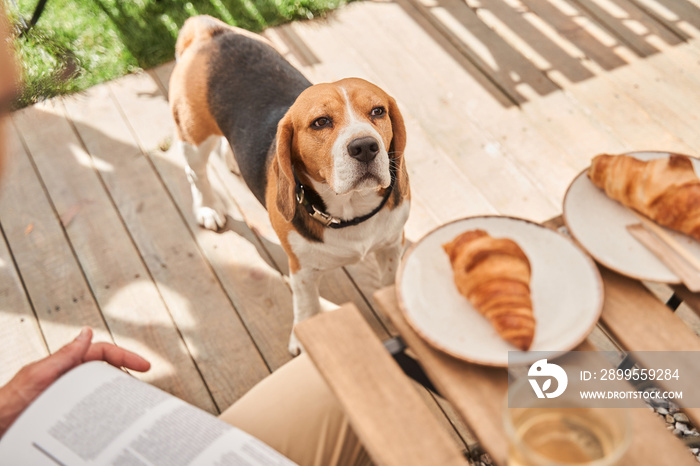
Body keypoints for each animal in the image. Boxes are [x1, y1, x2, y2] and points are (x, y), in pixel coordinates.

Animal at [169, 16, 410, 354]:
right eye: (321, 122)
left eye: (378, 111)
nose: (365, 147)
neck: (351, 210)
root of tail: (211, 31)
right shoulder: (302, 269)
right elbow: (307, 307)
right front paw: (303, 338)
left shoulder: (391, 246)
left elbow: (389, 283)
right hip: (193, 137)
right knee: (196, 173)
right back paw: (207, 208)